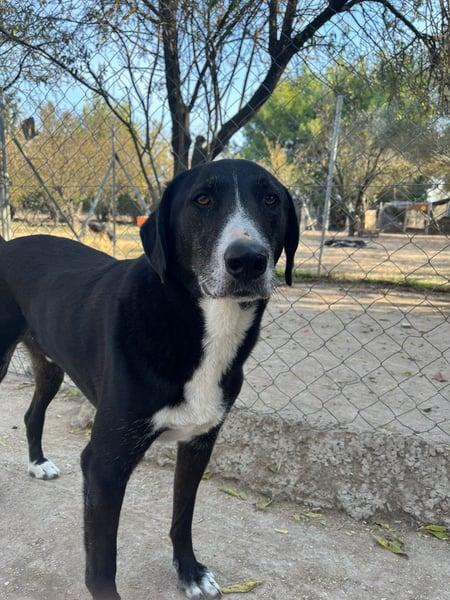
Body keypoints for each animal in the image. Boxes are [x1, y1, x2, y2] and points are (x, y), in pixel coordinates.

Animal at [0, 158, 299, 599]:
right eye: (202, 199)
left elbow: (182, 517)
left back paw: (38, 463)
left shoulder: (199, 444)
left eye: (271, 199)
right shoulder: (104, 464)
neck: (199, 325)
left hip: (51, 367)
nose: (247, 260)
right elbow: (102, 564)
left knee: (32, 414)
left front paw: (190, 573)